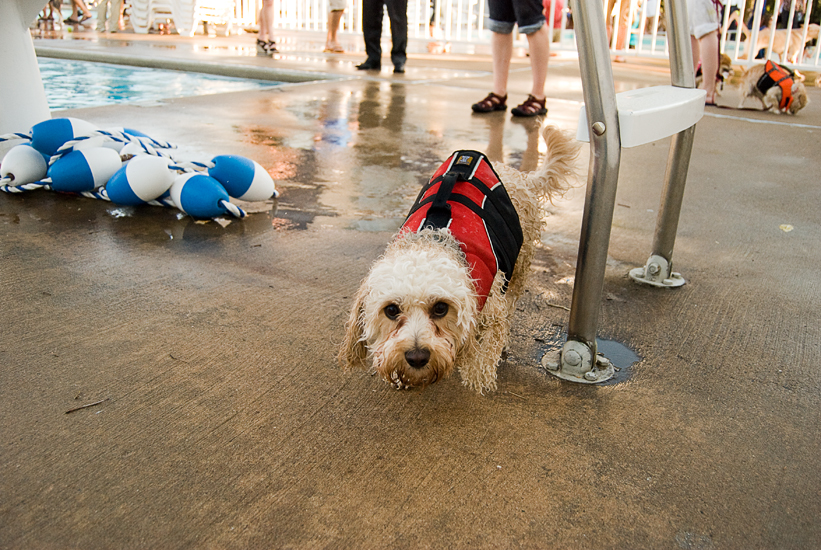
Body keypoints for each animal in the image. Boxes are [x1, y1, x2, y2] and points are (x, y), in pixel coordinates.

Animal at [336, 126, 580, 392]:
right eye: (391, 310)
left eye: (440, 308)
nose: (417, 357)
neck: (434, 239)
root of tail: (522, 177)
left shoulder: (492, 309)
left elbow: (487, 349)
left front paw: (477, 375)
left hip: (518, 270)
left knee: (510, 305)